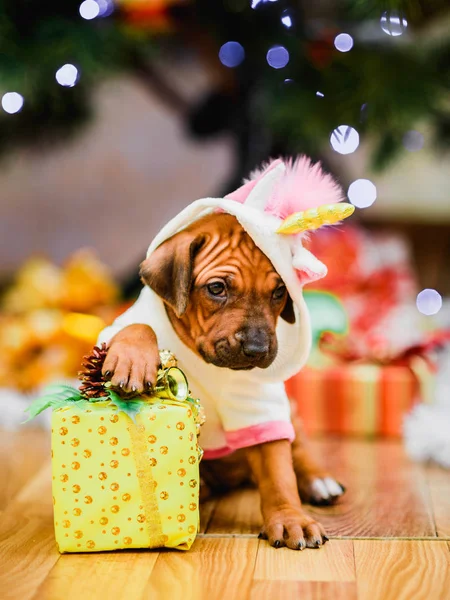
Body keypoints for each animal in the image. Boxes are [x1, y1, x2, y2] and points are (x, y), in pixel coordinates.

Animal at [103, 213, 344, 552]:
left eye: (279, 292)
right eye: (216, 288)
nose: (258, 349)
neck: (199, 354)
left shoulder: (258, 401)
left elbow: (278, 469)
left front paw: (290, 518)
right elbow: (138, 325)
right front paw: (132, 358)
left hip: (291, 411)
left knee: (299, 446)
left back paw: (318, 480)